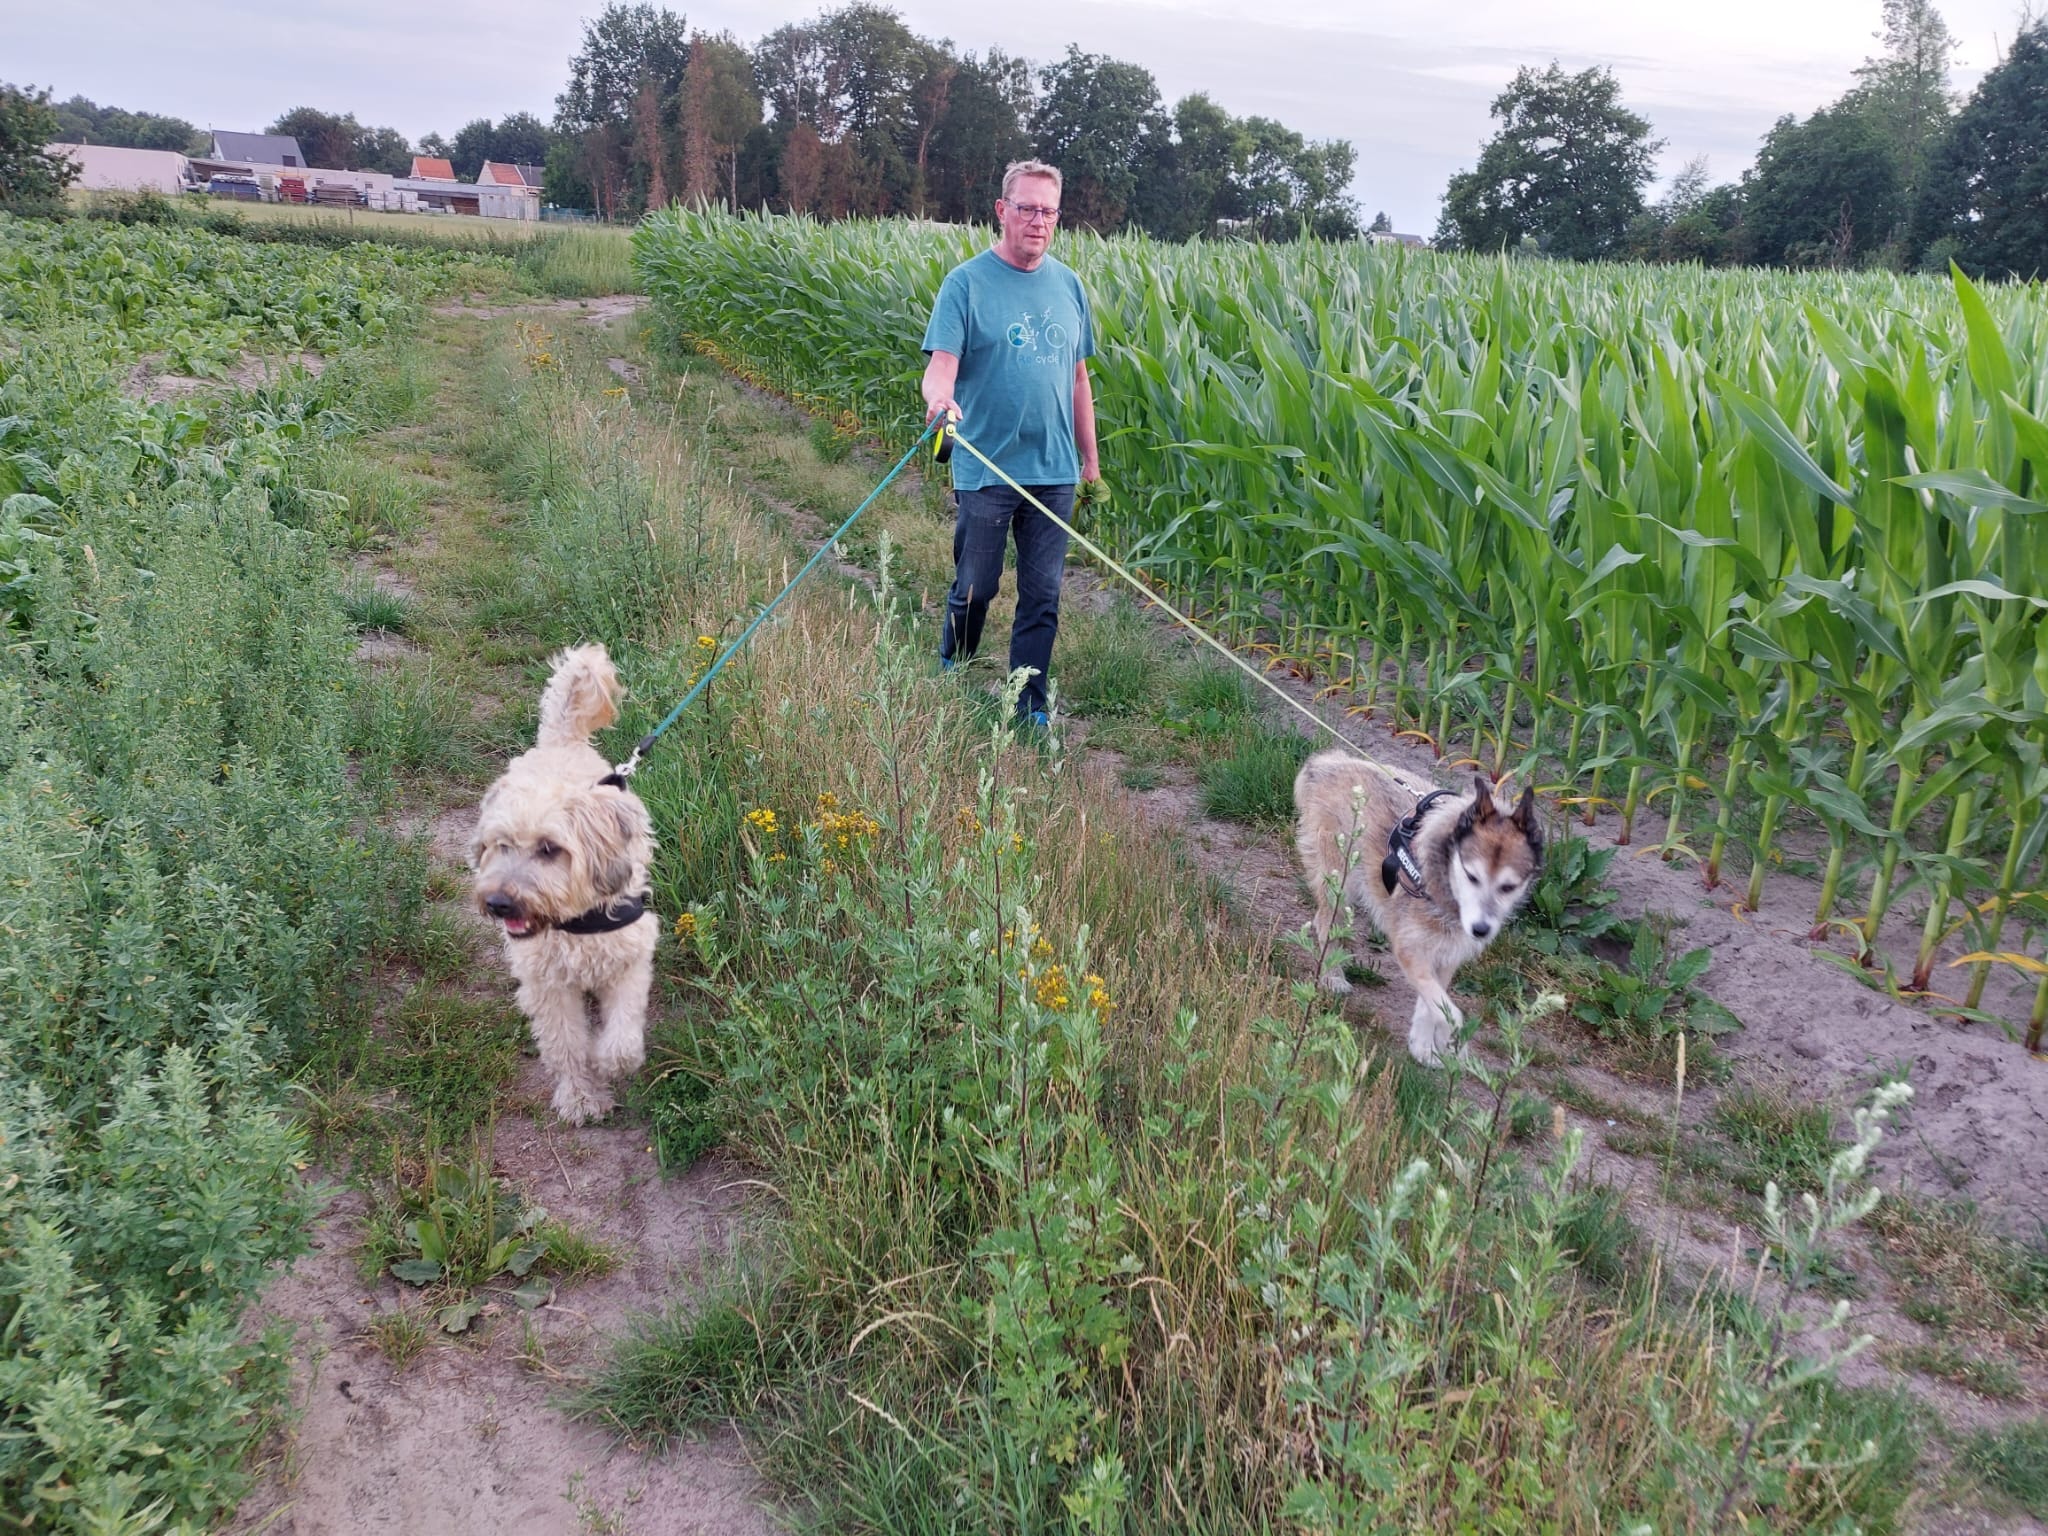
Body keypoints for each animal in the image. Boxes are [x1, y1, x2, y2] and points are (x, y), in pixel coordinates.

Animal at [468, 644, 657, 1124]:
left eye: (550, 849)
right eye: (500, 845)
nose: (498, 904)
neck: (576, 922)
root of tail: (561, 742)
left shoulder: (632, 955)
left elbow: (623, 1033)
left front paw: (609, 1063)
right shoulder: (546, 982)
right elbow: (565, 1044)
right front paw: (581, 1096)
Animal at [1293, 750, 1542, 1065]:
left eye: (1508, 887)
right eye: (1471, 875)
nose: (1481, 930)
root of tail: (1326, 762)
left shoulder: (1446, 955)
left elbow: (1431, 1006)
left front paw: (1422, 1047)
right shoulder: (1410, 950)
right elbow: (1451, 1014)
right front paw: (1454, 1046)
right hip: (1340, 881)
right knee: (1326, 922)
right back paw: (1332, 976)